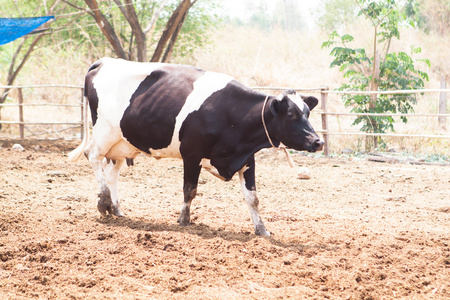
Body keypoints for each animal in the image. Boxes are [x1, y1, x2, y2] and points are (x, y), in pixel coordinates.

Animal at [67, 56, 324, 237]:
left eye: (307, 112)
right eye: (291, 114)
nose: (318, 141)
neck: (231, 114)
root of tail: (105, 61)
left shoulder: (246, 159)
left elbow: (253, 198)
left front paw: (262, 230)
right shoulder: (191, 154)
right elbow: (189, 189)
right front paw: (184, 220)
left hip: (122, 143)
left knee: (111, 171)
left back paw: (116, 208)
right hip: (104, 132)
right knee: (92, 156)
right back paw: (103, 202)